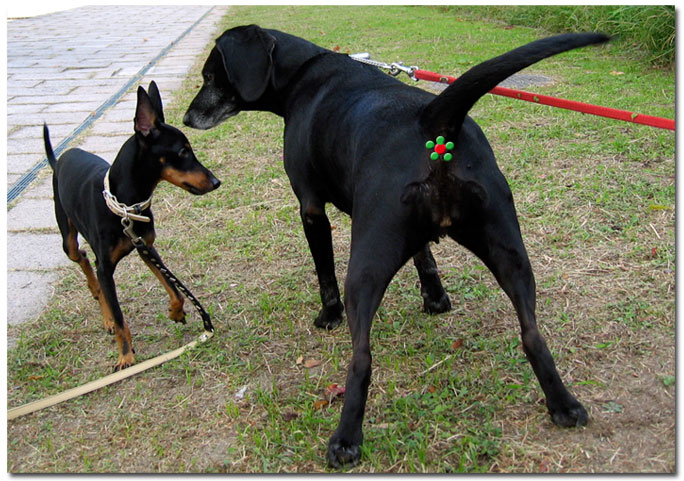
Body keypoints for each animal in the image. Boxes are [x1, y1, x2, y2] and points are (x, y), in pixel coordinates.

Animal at [45, 80, 220, 370]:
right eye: (183, 151)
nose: (216, 182)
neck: (126, 207)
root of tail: (60, 159)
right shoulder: (106, 267)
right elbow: (119, 317)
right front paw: (125, 356)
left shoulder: (146, 247)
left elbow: (175, 290)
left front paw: (176, 312)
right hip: (66, 236)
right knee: (82, 258)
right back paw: (102, 309)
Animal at [184, 25, 608, 464]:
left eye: (211, 76)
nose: (185, 117)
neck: (303, 73)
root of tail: (433, 120)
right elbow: (426, 257)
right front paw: (435, 299)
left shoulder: (312, 209)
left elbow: (324, 273)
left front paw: (328, 316)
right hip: (510, 252)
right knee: (532, 335)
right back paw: (563, 404)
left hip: (365, 267)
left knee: (361, 359)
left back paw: (345, 440)